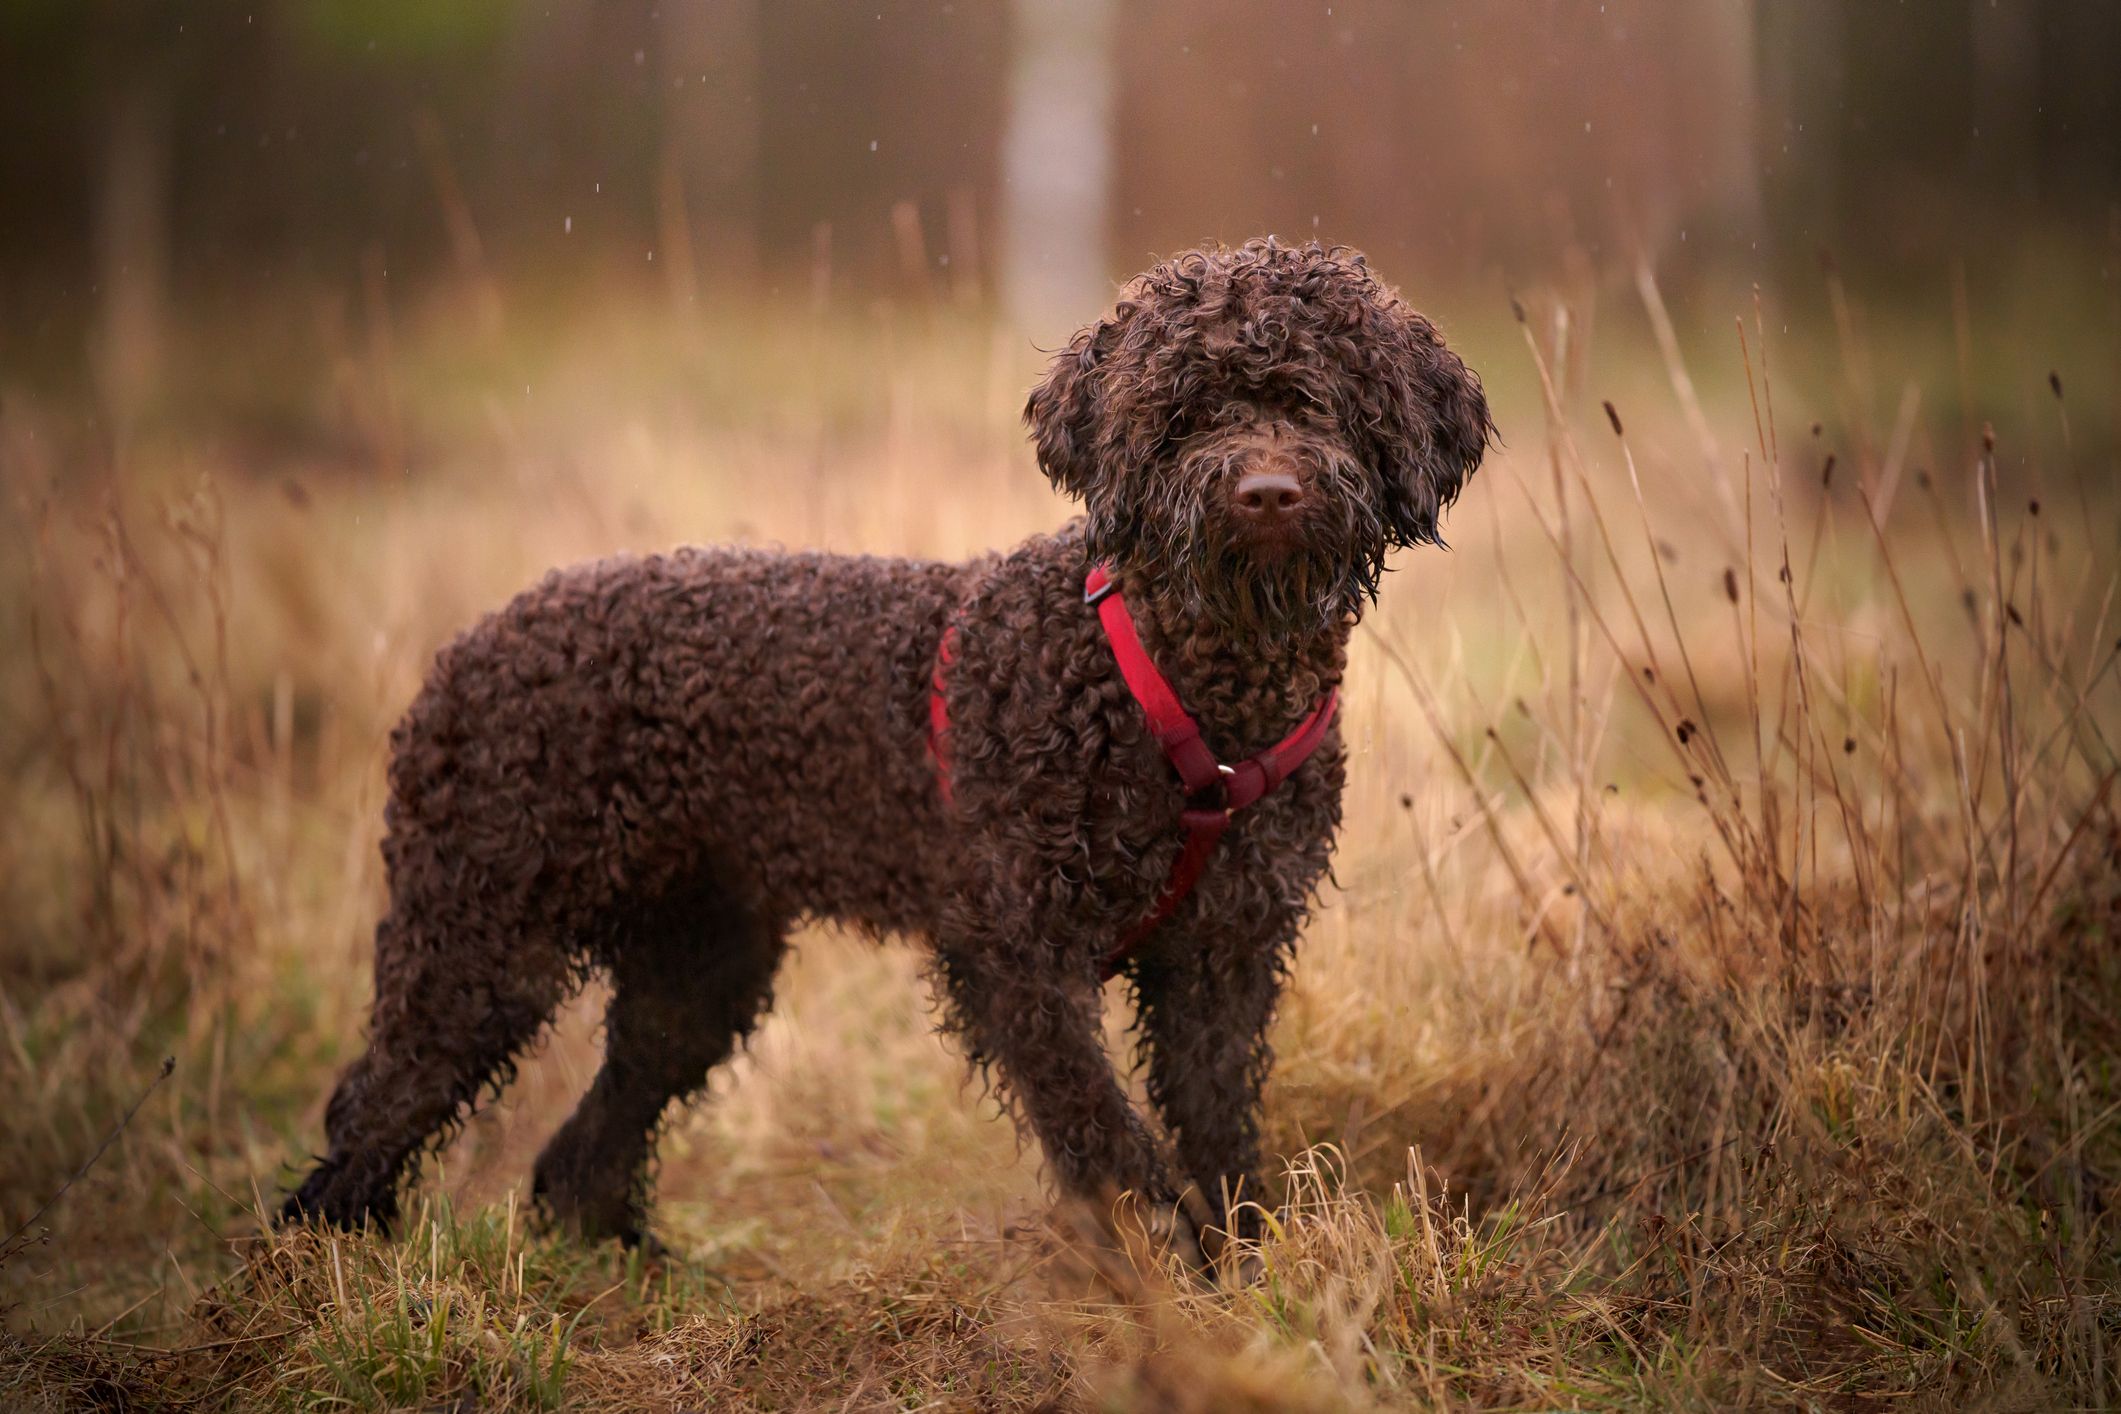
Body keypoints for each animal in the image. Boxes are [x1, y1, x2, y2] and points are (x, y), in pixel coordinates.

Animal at [286, 240, 1493, 1263]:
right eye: (1183, 413)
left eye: (1319, 399)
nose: (1266, 493)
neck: (1184, 694)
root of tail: (462, 652)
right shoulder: (1016, 956)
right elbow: (1105, 1135)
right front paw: (1160, 1262)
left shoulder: (1223, 956)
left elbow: (1216, 1128)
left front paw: (1245, 1266)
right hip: (485, 932)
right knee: (375, 1107)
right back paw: (331, 1269)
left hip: (698, 960)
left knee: (584, 1145)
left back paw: (628, 1264)